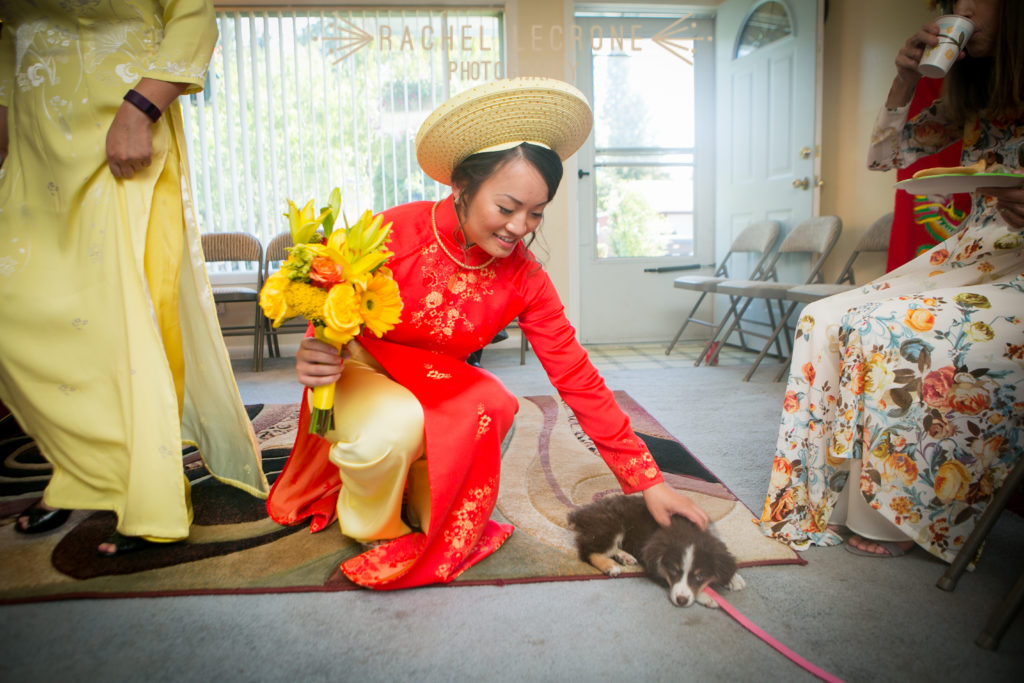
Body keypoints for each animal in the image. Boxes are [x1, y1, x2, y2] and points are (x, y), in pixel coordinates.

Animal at [567, 494, 745, 608]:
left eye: (700, 575)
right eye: (674, 571)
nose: (681, 601)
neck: (687, 530)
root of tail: (582, 512)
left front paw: (733, 579)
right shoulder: (653, 561)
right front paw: (707, 596)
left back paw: (625, 557)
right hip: (610, 525)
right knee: (588, 551)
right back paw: (610, 566)